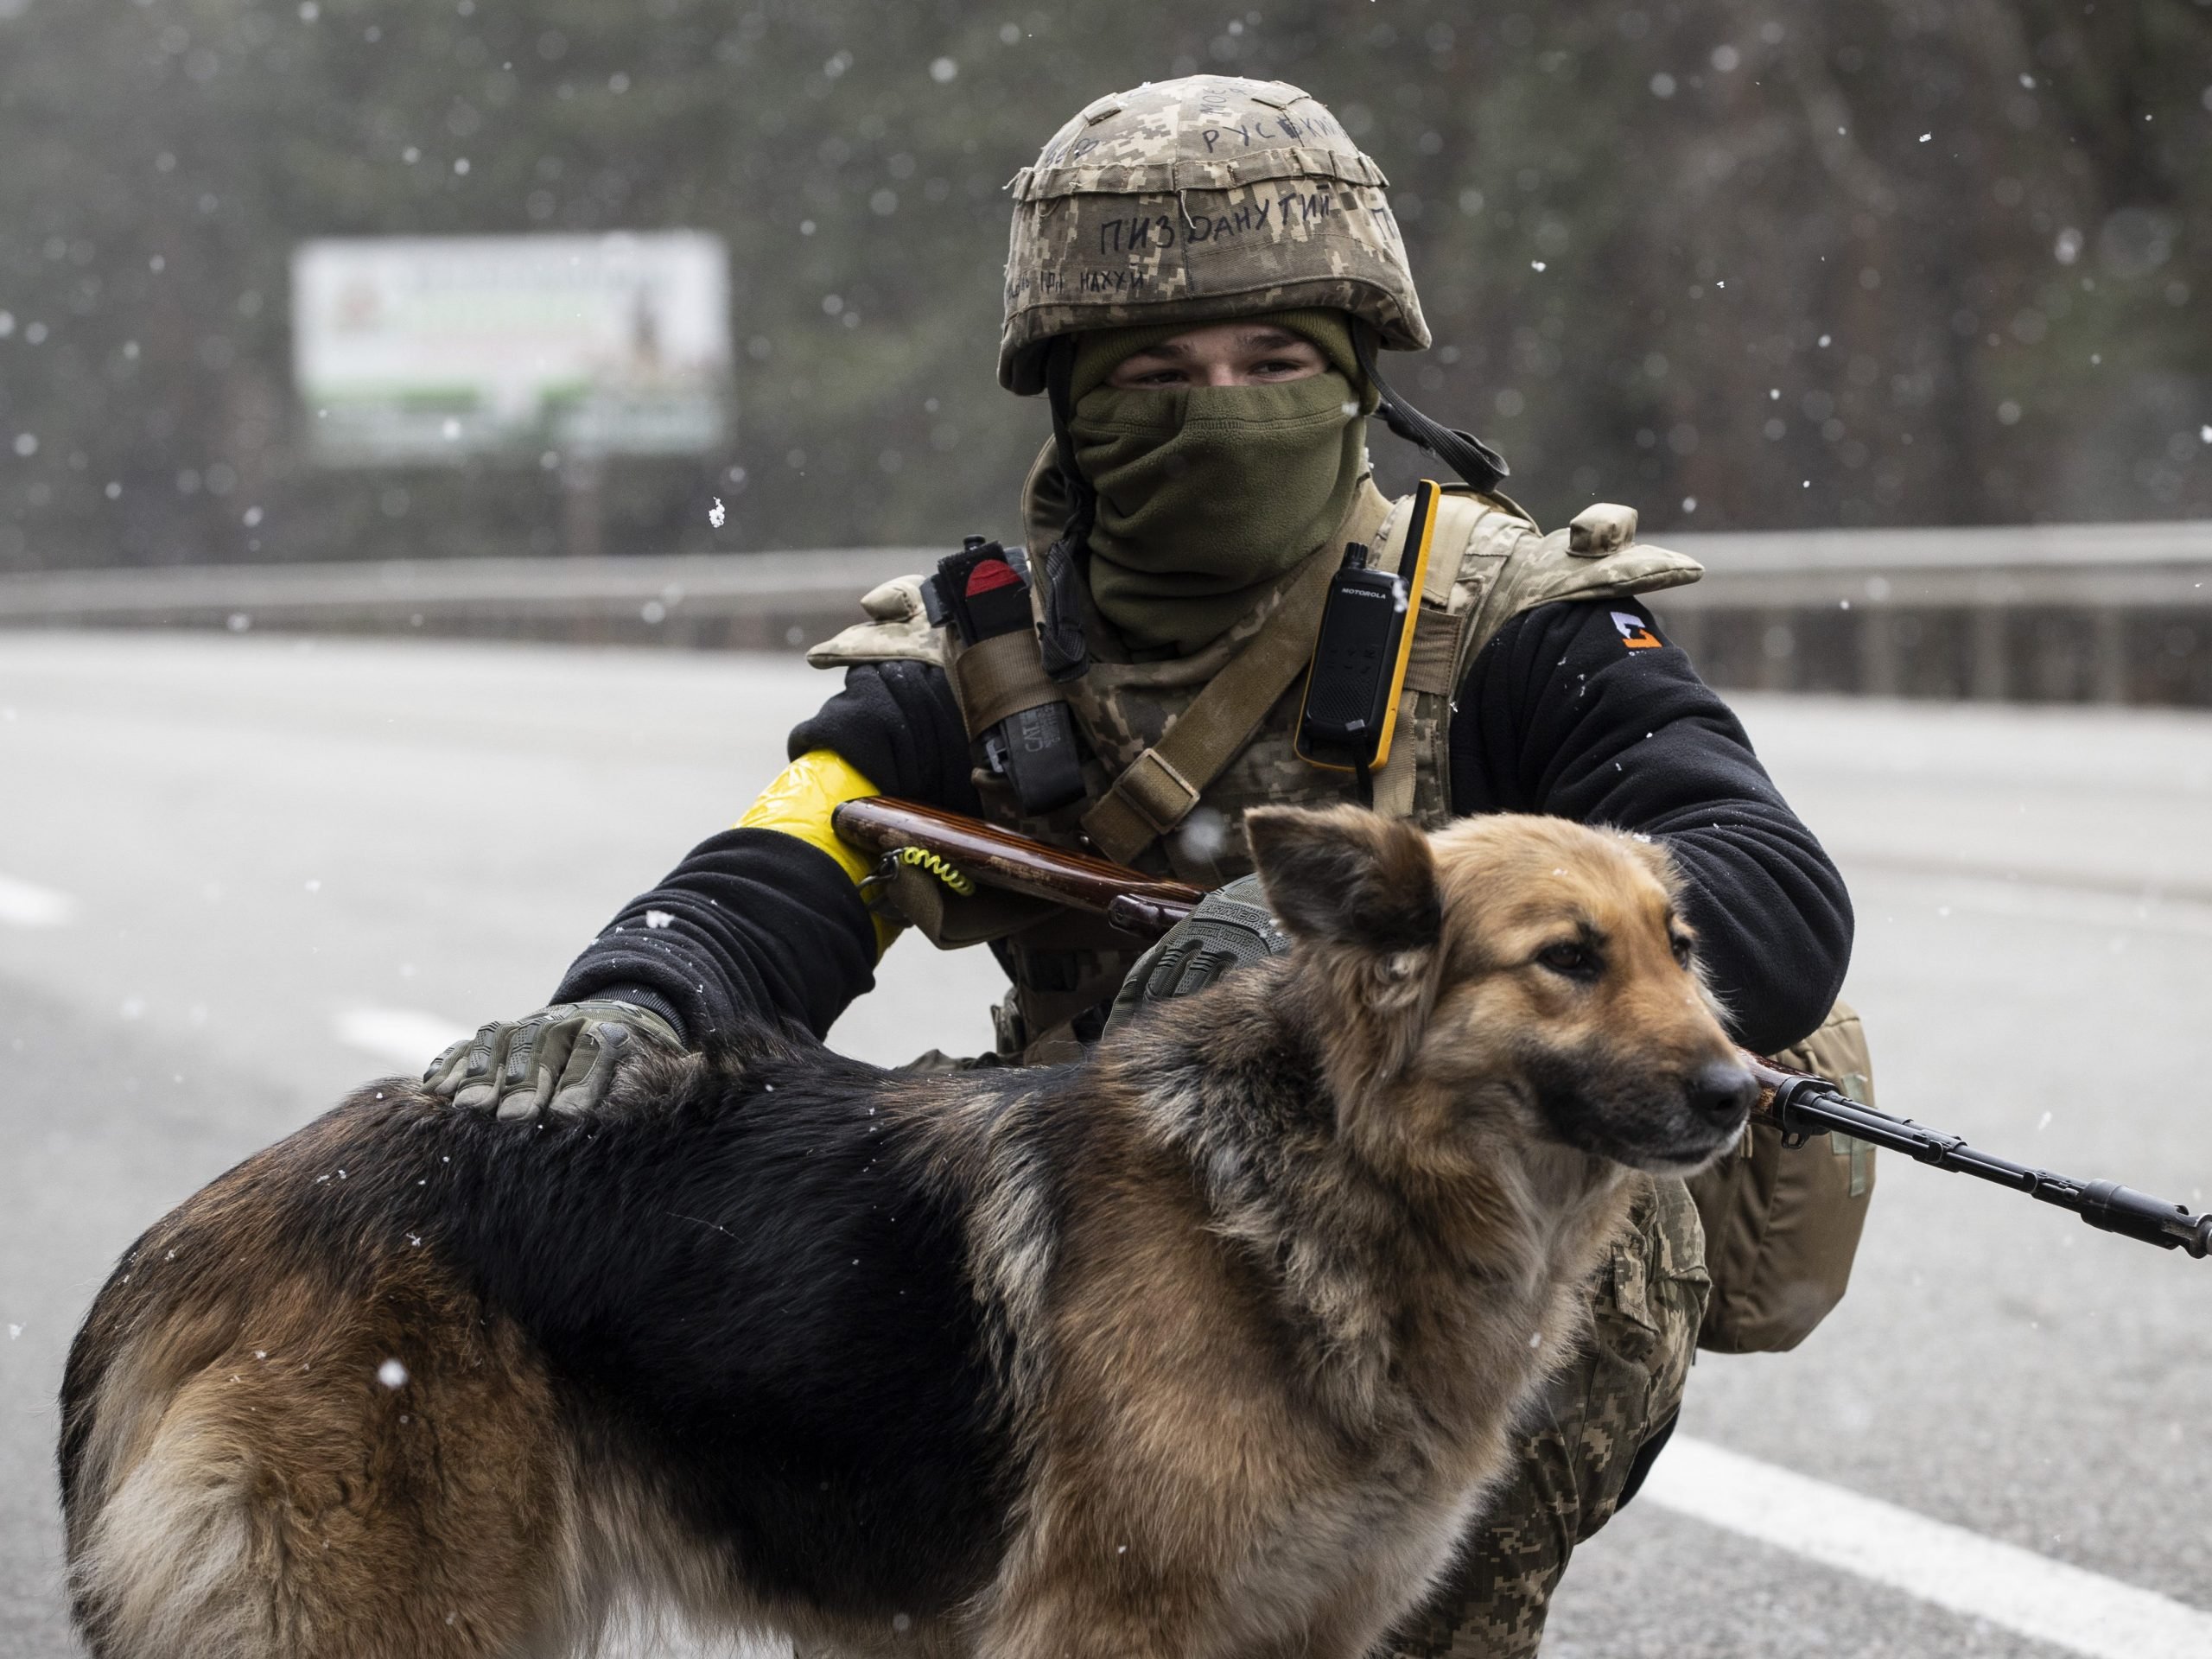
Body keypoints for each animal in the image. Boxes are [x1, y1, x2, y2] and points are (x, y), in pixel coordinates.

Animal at [60, 800, 1751, 1654]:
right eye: (1567, 959)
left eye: (1682, 945)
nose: (1746, 1090)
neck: (1325, 1172)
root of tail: (203, 1224)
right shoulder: (1111, 1629)